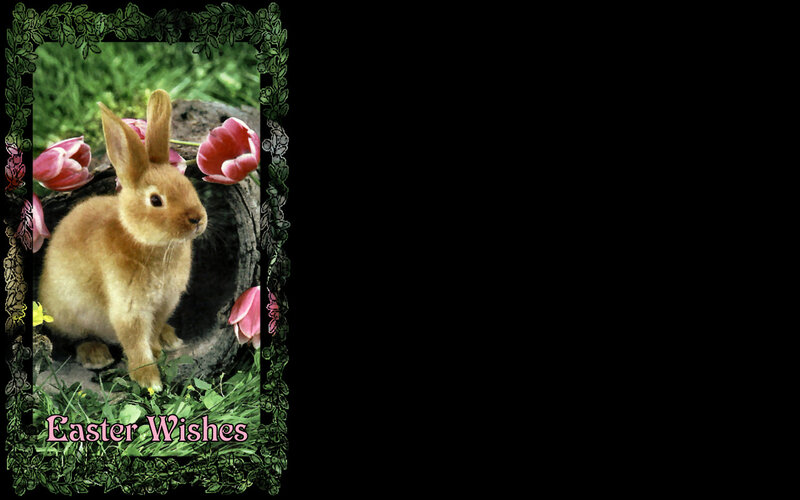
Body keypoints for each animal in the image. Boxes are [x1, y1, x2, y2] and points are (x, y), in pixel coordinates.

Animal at [39, 89, 207, 391]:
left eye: (187, 185)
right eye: (156, 200)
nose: (198, 219)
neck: (145, 241)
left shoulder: (165, 303)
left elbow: (151, 332)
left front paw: (159, 349)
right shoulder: (128, 307)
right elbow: (136, 342)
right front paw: (150, 380)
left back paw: (170, 338)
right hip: (68, 313)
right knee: (76, 338)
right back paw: (96, 356)